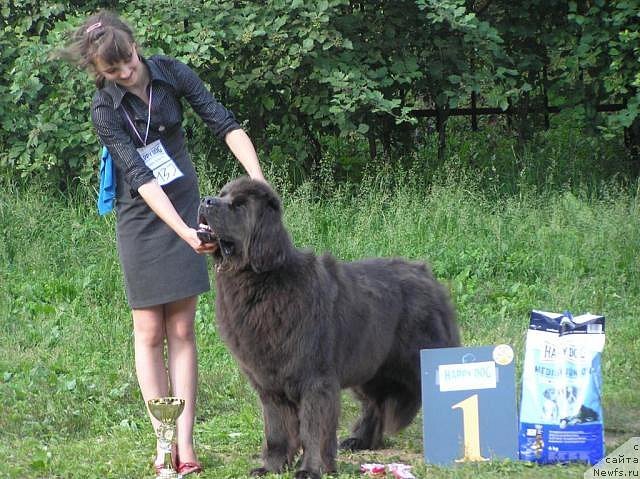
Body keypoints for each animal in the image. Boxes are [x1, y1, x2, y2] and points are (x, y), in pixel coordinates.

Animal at [198, 178, 458, 478]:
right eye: (222, 194)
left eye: (239, 206)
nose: (205, 200)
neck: (261, 281)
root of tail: (425, 273)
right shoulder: (269, 383)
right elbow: (276, 428)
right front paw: (271, 466)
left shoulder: (316, 380)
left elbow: (314, 428)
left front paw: (312, 469)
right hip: (370, 366)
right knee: (373, 404)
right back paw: (359, 440)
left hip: (419, 360)